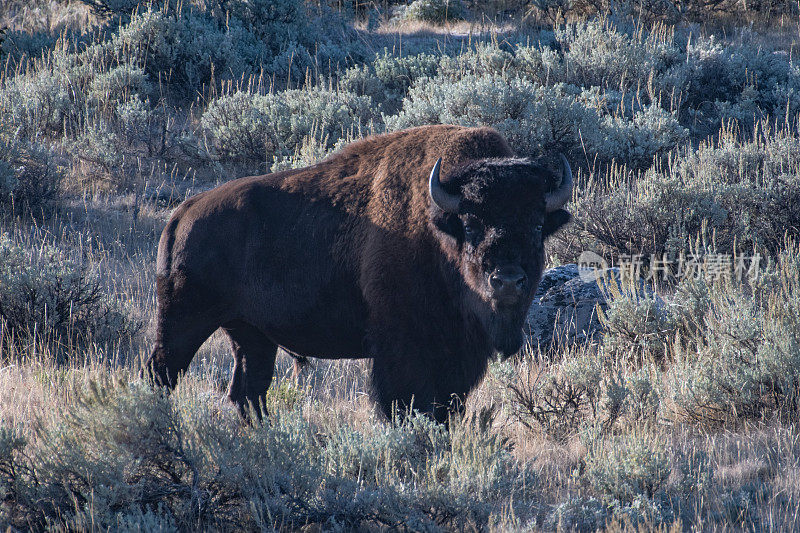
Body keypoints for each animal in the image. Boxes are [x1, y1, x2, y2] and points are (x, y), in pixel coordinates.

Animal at [144, 124, 568, 424]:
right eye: (472, 225)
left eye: (536, 225)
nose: (508, 280)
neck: (438, 230)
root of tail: (183, 213)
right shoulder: (403, 349)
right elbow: (407, 405)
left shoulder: (459, 357)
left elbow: (446, 408)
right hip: (183, 322)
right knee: (163, 374)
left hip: (249, 333)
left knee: (249, 391)